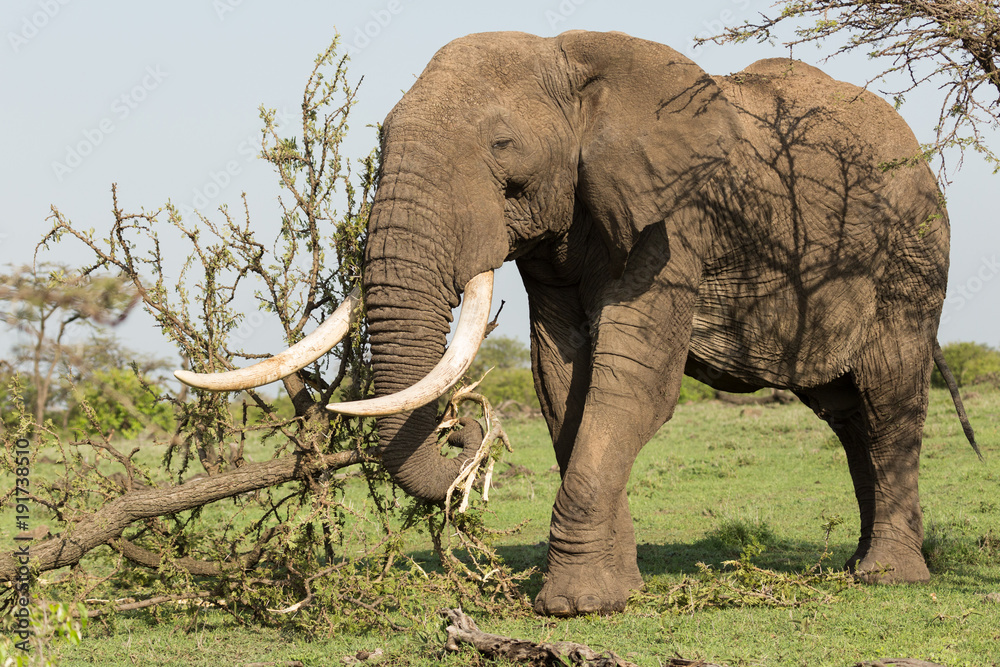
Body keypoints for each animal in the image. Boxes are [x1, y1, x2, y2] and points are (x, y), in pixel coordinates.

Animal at [176, 30, 980, 617]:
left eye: (501, 146)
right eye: (379, 142)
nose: (467, 431)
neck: (570, 56)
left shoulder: (677, 220)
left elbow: (631, 384)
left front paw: (573, 607)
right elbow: (562, 378)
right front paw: (612, 593)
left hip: (912, 257)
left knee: (888, 402)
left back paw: (887, 579)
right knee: (848, 416)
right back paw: (858, 565)